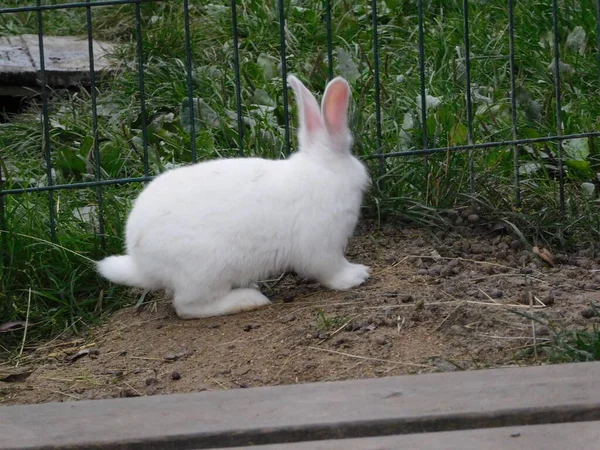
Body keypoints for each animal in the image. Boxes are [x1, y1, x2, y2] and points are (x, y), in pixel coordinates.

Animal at [97, 74, 370, 318]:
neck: (322, 166)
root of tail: (142, 264)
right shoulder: (323, 244)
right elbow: (330, 269)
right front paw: (357, 275)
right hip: (206, 270)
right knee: (188, 307)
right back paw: (248, 299)